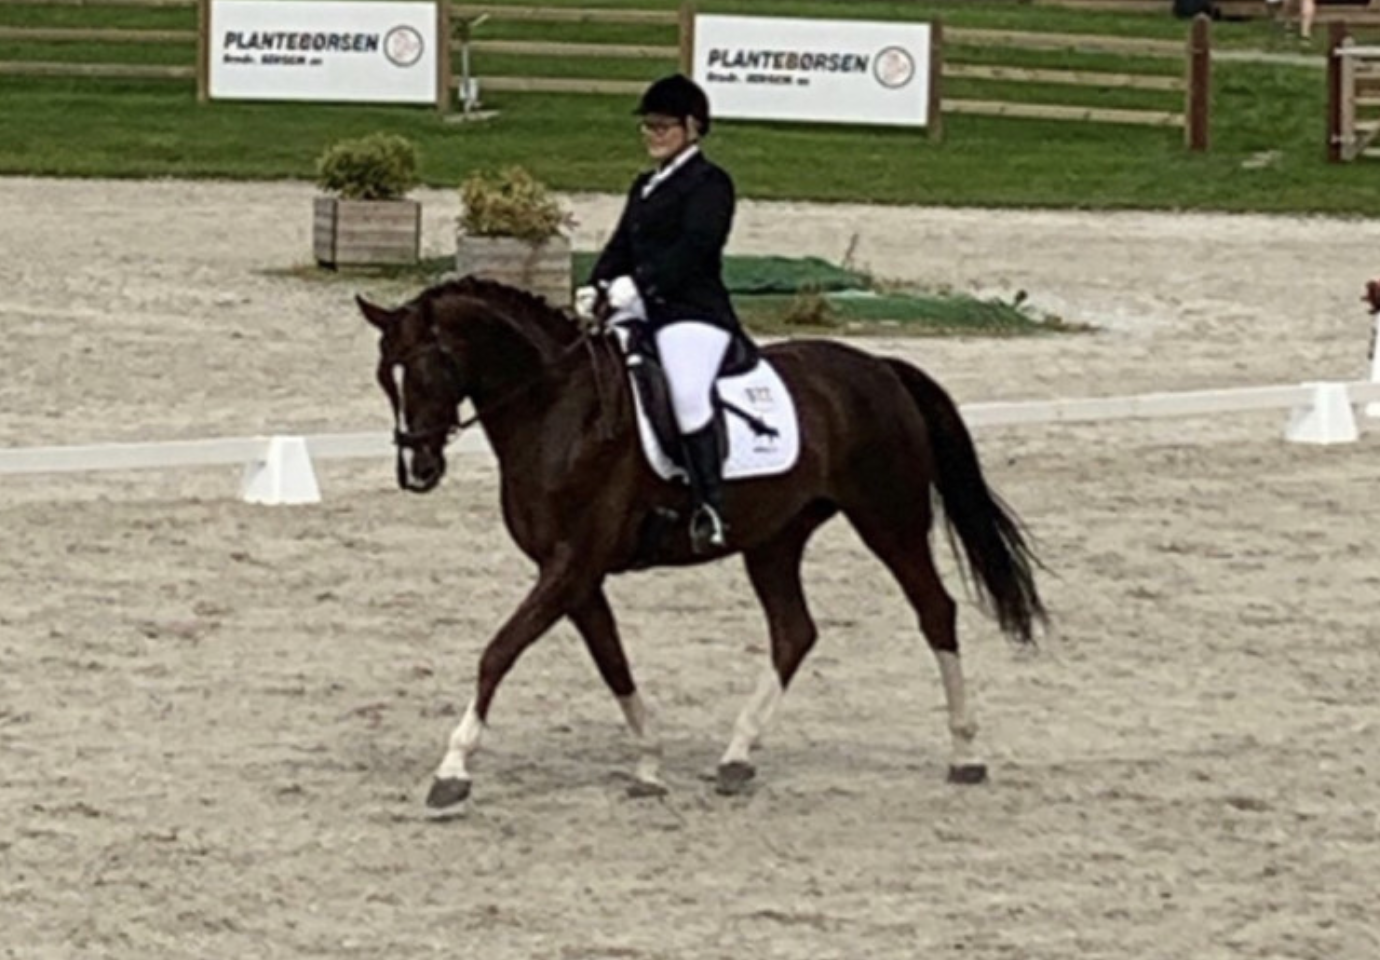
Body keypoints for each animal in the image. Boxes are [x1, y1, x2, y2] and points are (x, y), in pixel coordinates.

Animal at [357, 277, 1045, 810]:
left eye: (429, 370)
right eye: (385, 376)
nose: (417, 470)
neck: (558, 410)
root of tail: (880, 368)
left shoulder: (572, 564)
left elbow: (498, 652)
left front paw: (453, 769)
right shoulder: (576, 575)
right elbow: (612, 661)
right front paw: (649, 764)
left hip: (889, 519)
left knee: (935, 612)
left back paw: (965, 753)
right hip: (774, 538)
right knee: (794, 632)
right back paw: (736, 757)